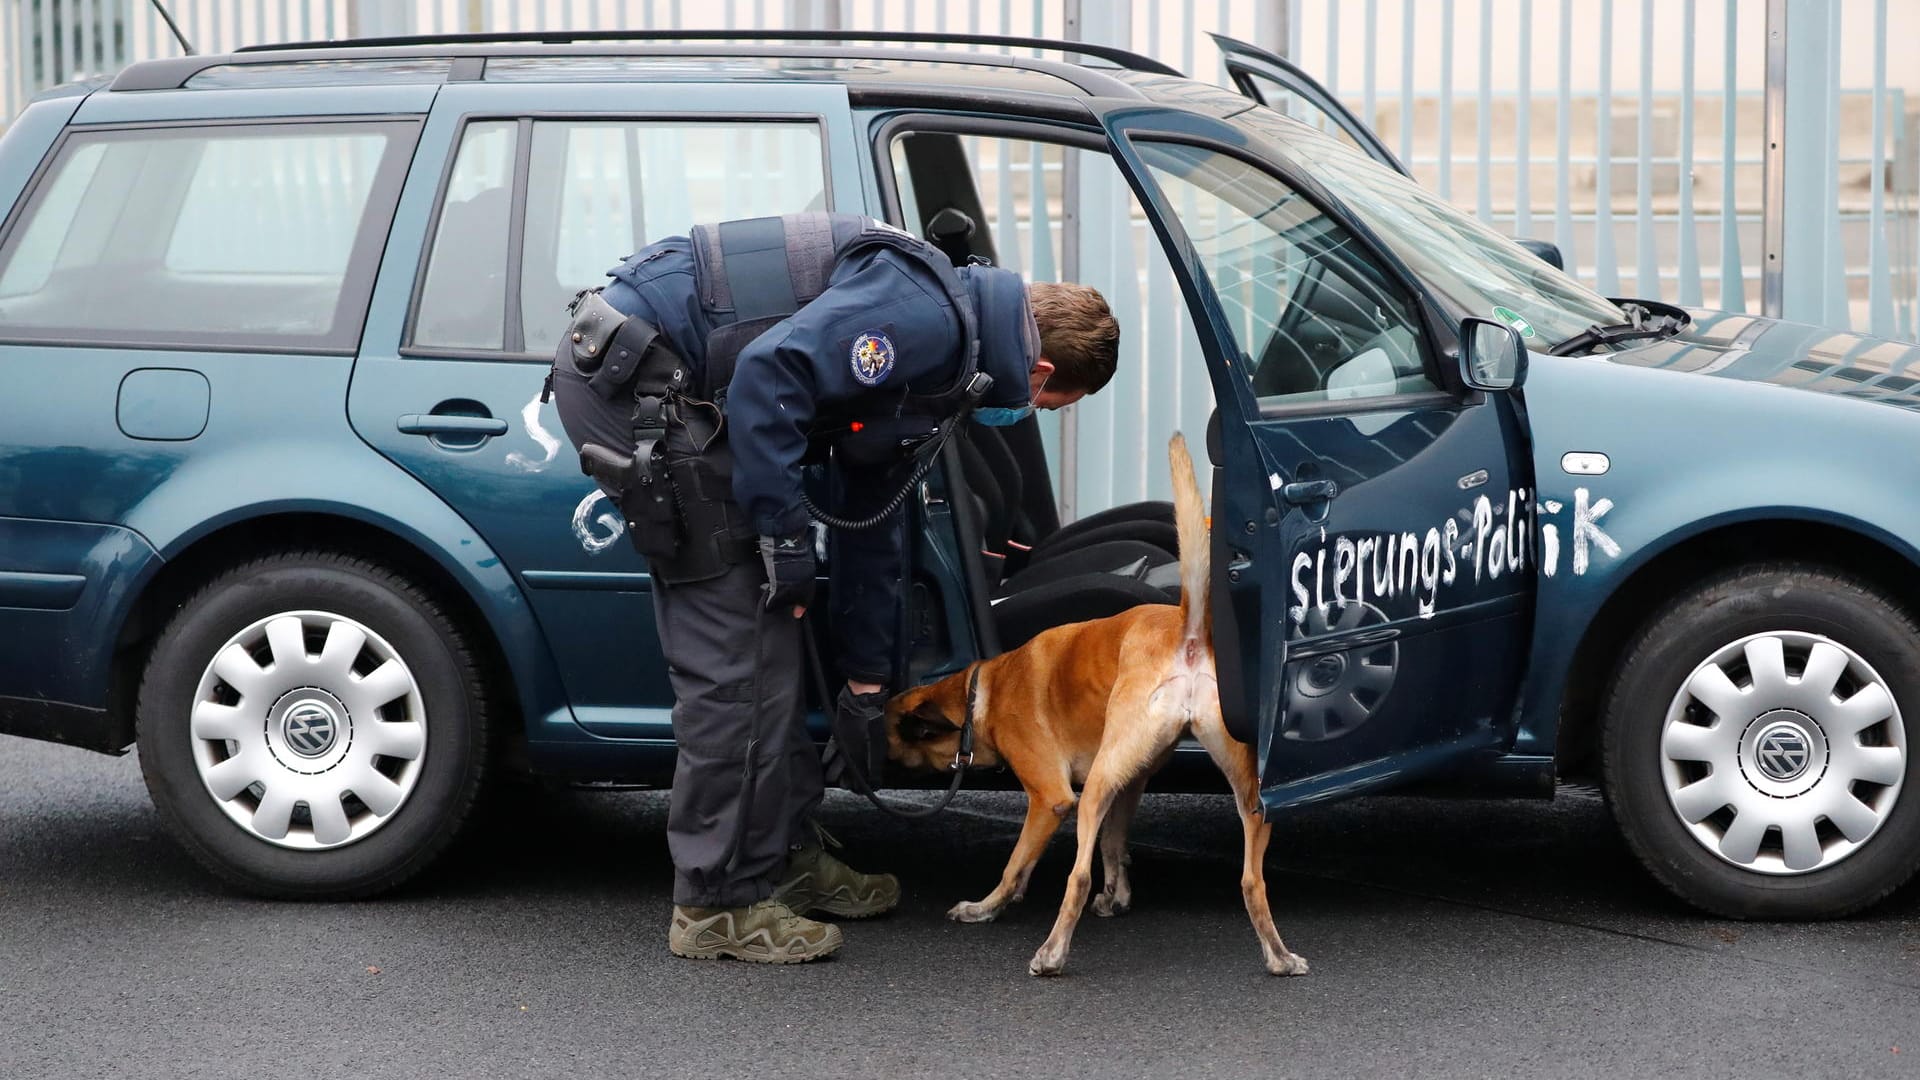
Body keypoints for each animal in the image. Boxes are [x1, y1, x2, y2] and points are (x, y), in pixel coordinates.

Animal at [879, 430, 1305, 976]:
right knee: (1253, 880)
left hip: (1097, 784)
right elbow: (1114, 844)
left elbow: (1017, 863)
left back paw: (1052, 953)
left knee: (1075, 878)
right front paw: (1117, 895)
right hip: (1240, 791)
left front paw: (987, 906)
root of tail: (1187, 628)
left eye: (892, 734)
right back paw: (1279, 955)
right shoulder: (1130, 783)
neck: (982, 690)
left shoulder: (1051, 799)